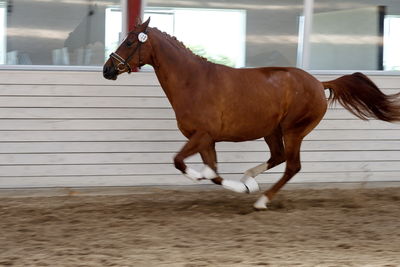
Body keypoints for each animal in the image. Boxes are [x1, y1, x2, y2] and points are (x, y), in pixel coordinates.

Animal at [103, 18, 400, 211]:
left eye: (130, 41)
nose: (107, 70)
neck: (193, 81)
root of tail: (319, 83)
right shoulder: (206, 140)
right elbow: (215, 173)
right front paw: (238, 186)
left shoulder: (202, 135)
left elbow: (180, 162)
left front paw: (203, 177)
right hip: (272, 131)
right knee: (278, 157)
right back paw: (249, 182)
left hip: (293, 130)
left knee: (292, 165)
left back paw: (261, 200)